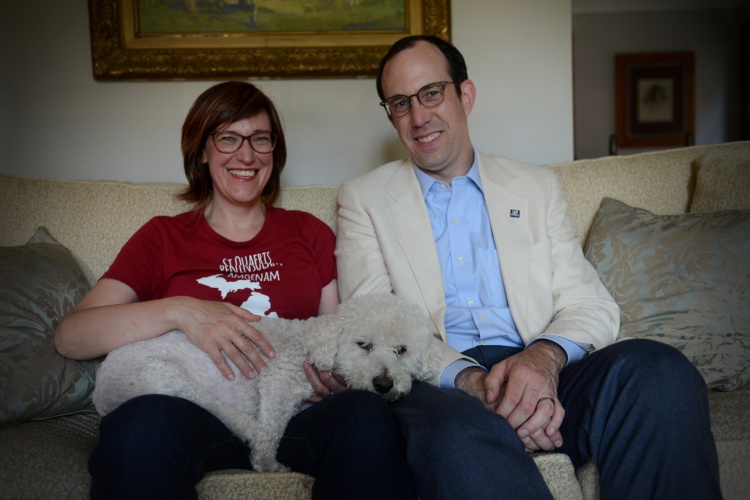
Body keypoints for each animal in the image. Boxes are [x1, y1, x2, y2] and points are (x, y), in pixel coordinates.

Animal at [95, 292, 446, 472]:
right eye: (364, 345)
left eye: (401, 350)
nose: (384, 383)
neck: (309, 343)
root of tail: (99, 390)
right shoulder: (277, 382)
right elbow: (271, 432)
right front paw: (267, 464)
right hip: (160, 374)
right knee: (213, 406)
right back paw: (249, 427)